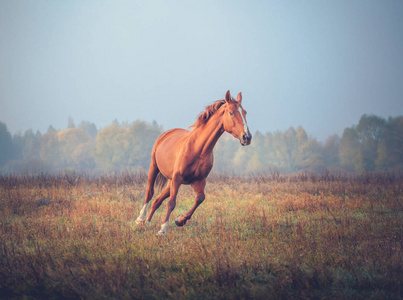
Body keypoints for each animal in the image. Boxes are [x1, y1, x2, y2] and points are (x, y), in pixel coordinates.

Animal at [137, 90, 251, 236]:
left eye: (245, 112)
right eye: (231, 113)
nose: (247, 137)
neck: (198, 149)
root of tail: (166, 134)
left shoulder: (198, 180)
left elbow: (200, 198)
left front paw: (180, 220)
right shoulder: (177, 178)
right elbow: (171, 203)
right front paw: (162, 230)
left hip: (170, 182)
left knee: (157, 201)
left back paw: (146, 223)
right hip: (155, 168)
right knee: (149, 192)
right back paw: (140, 219)